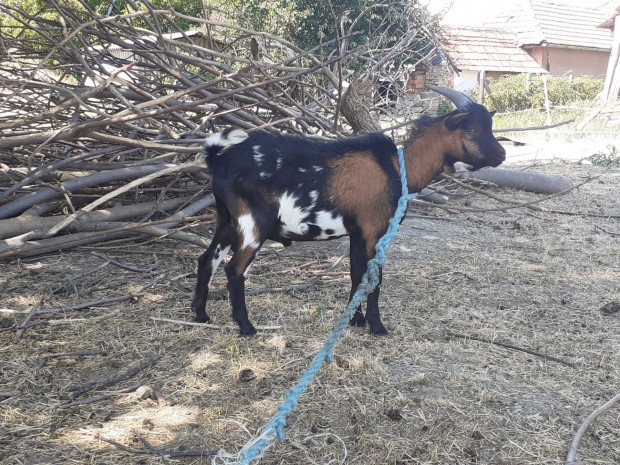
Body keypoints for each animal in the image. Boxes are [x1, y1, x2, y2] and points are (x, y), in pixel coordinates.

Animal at [191, 86, 506, 334]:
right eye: (472, 129)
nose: (501, 154)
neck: (397, 167)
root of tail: (218, 160)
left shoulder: (358, 232)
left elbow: (356, 274)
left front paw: (354, 321)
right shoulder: (376, 230)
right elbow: (373, 278)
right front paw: (377, 327)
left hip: (226, 220)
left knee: (207, 260)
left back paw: (201, 315)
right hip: (252, 224)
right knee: (234, 269)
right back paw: (246, 327)